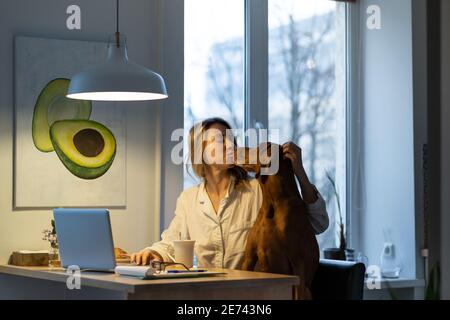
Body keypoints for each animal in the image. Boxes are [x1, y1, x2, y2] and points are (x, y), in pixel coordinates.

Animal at [239, 144, 320, 298]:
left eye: (258, 147)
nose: (236, 148)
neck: (272, 202)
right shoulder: (249, 259)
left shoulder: (298, 263)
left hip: (307, 289)